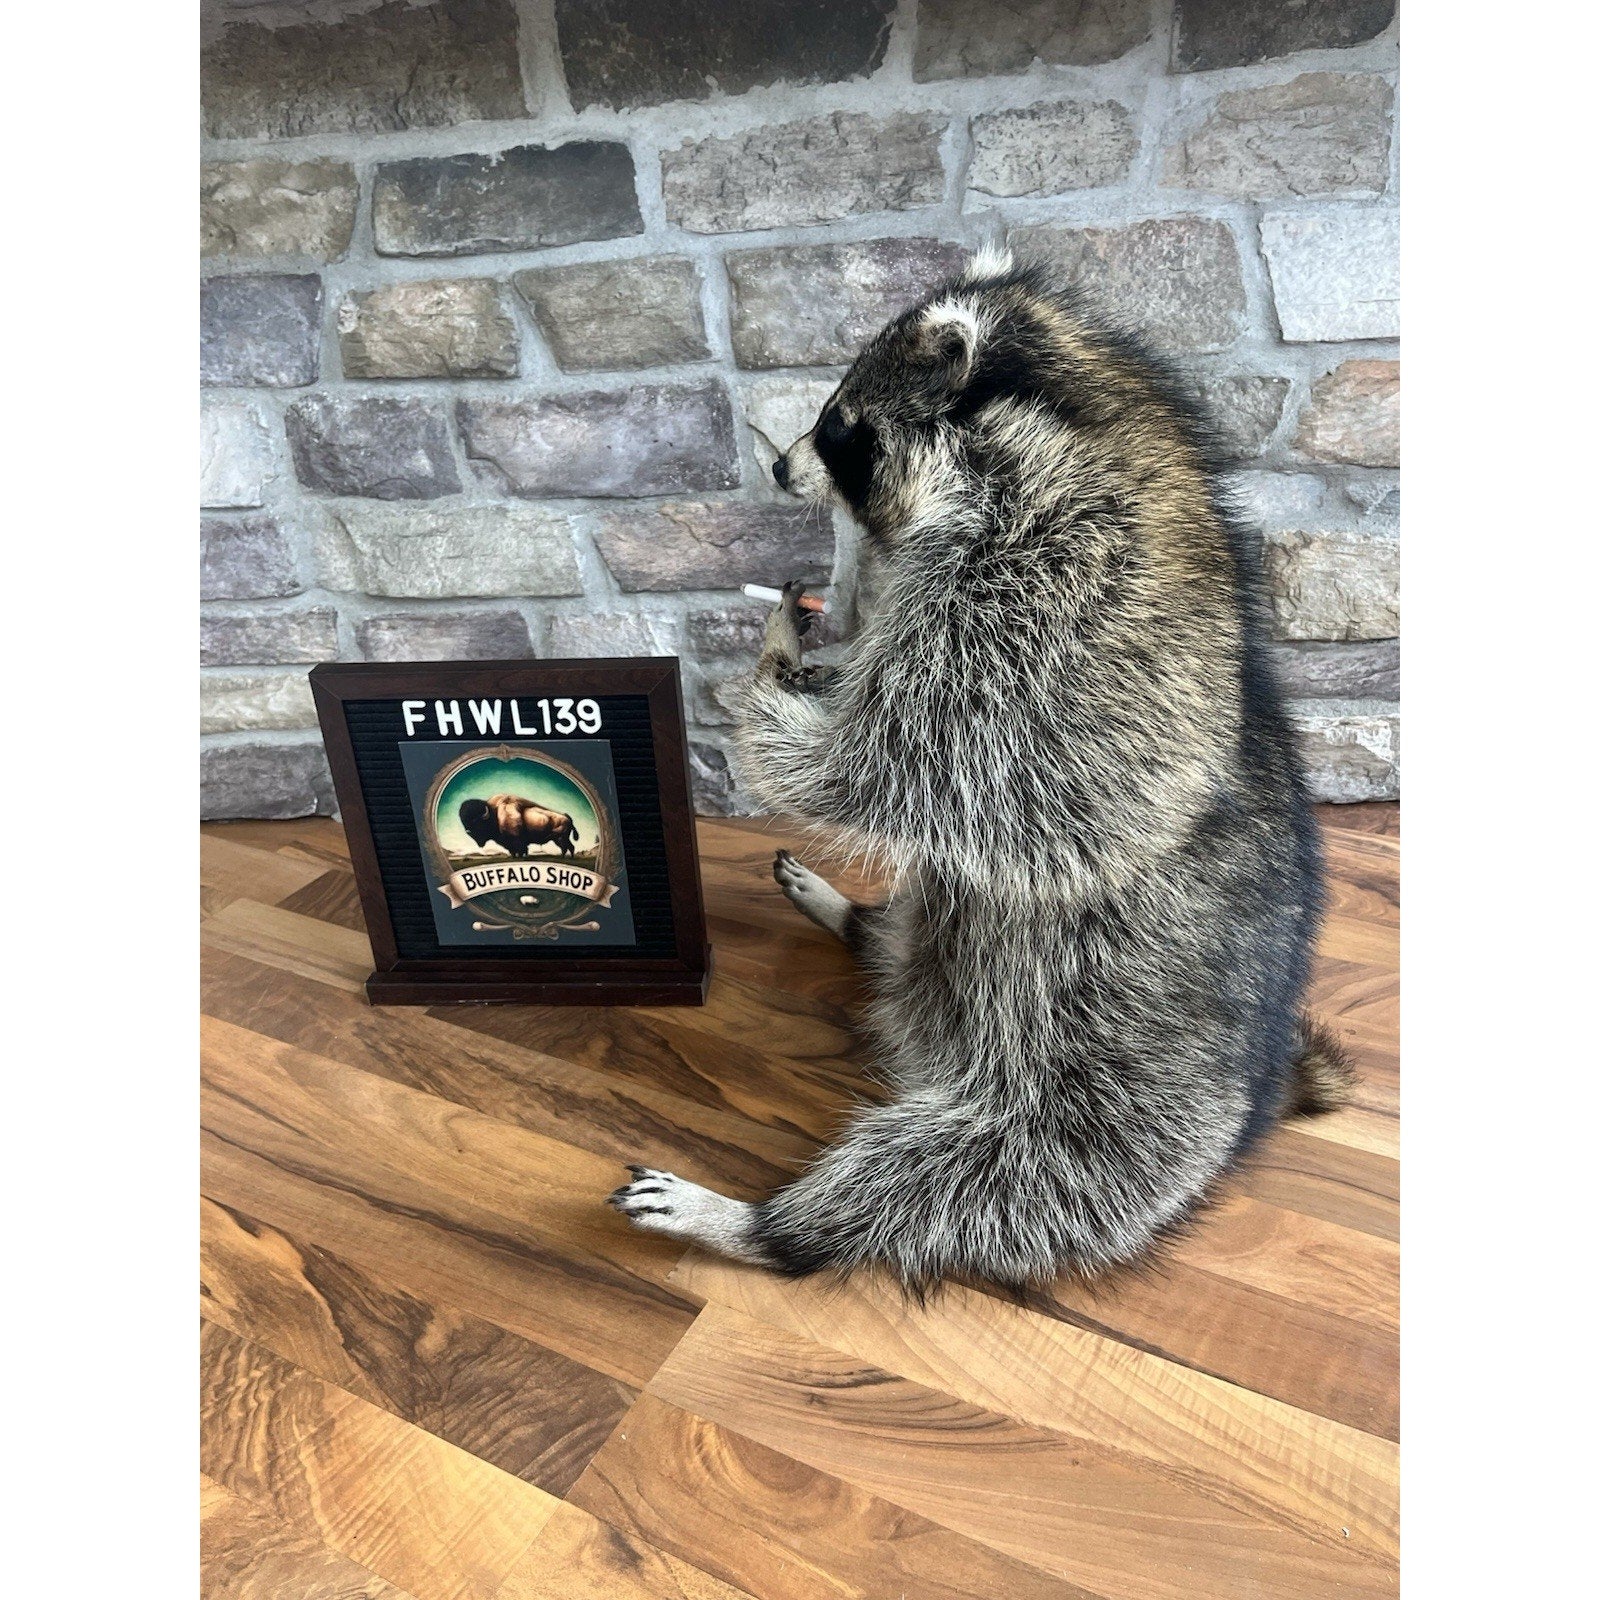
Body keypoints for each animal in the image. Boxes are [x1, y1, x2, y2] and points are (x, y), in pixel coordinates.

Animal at [609, 246, 1352, 1292]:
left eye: (838, 425)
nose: (781, 466)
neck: (1071, 430)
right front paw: (828, 609)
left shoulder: (1044, 619)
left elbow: (872, 761)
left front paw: (771, 664)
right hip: (949, 956)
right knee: (913, 931)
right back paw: (857, 922)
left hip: (1106, 1119)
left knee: (955, 1181)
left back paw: (766, 1225)